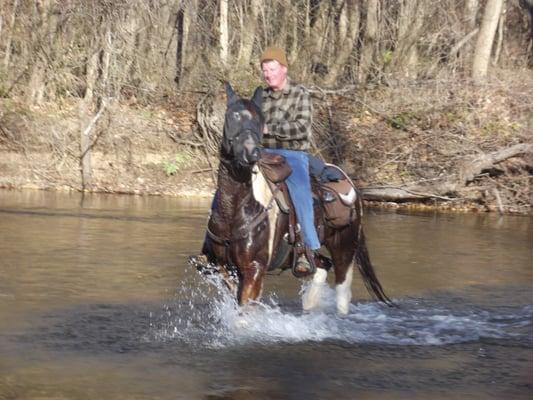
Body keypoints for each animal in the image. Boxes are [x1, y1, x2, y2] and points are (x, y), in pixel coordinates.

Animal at [189, 83, 388, 316]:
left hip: (345, 248)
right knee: (322, 266)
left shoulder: (254, 268)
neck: (235, 209)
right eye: (232, 116)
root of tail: (350, 183)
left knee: (342, 291)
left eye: (260, 119)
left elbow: (244, 312)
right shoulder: (220, 266)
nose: (251, 152)